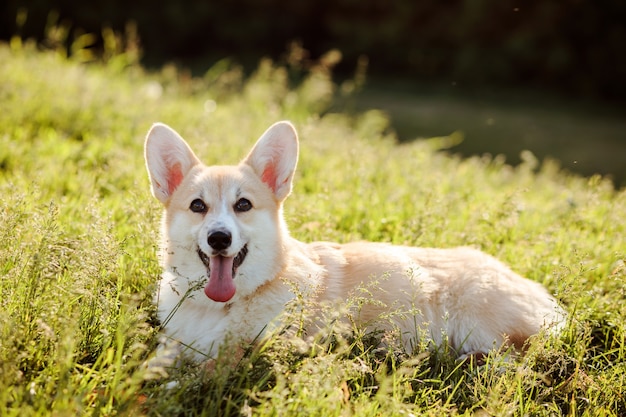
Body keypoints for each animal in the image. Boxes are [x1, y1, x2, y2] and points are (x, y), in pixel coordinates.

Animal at [144, 122, 564, 362]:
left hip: (477, 320)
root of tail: (547, 298)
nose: (219, 238)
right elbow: (157, 366)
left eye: (243, 204)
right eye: (198, 206)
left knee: (516, 357)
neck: (218, 307)